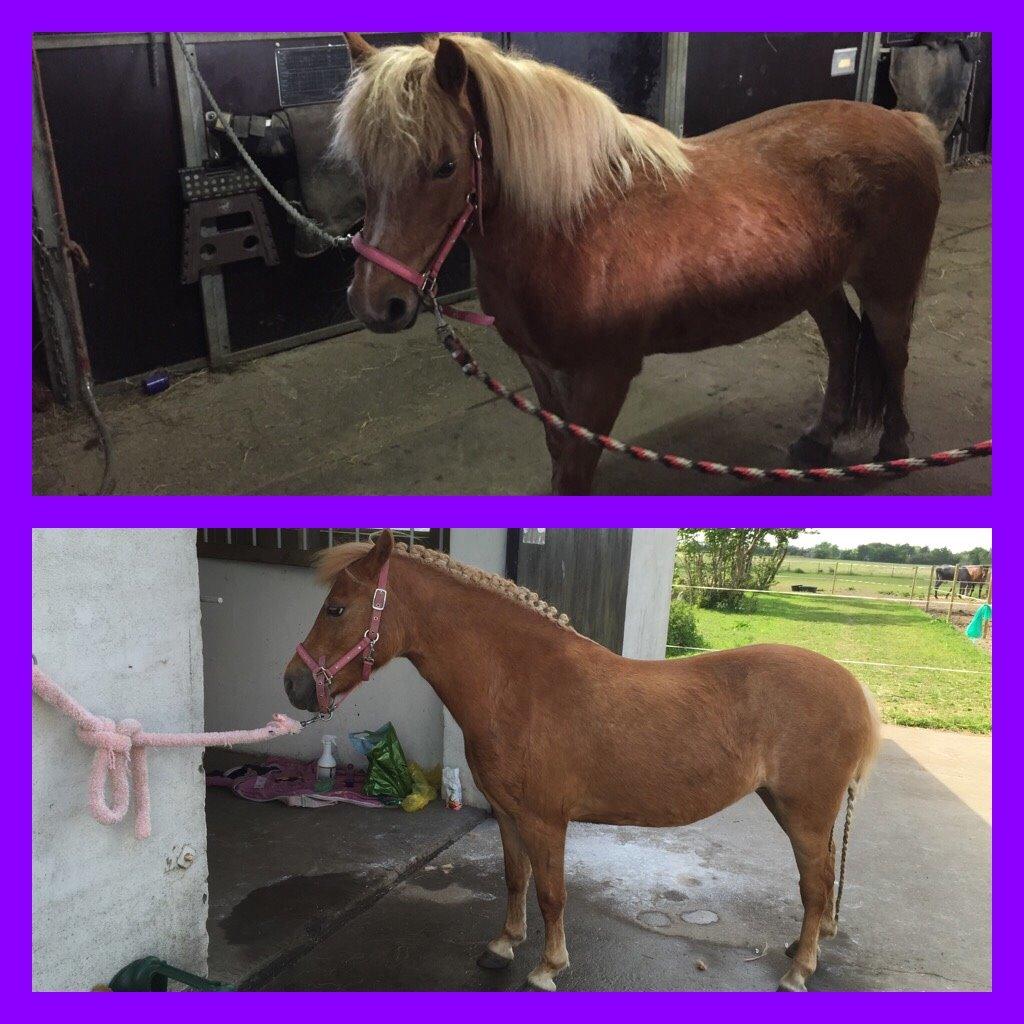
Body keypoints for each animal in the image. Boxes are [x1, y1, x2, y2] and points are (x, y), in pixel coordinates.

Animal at [284, 530, 881, 991]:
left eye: (336, 609)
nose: (293, 684)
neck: (517, 682)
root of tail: (853, 688)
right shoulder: (508, 814)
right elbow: (515, 880)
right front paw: (503, 946)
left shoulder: (546, 821)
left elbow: (552, 894)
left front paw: (547, 968)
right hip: (793, 808)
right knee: (822, 881)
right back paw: (803, 949)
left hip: (804, 813)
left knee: (815, 884)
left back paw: (799, 971)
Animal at [331, 33, 944, 494]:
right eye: (361, 164)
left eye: (446, 166)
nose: (374, 302)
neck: (575, 225)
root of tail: (909, 123)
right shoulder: (542, 368)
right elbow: (559, 455)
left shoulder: (605, 376)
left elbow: (575, 469)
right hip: (819, 285)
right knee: (842, 342)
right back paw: (818, 440)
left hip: (889, 286)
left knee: (893, 352)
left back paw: (894, 450)